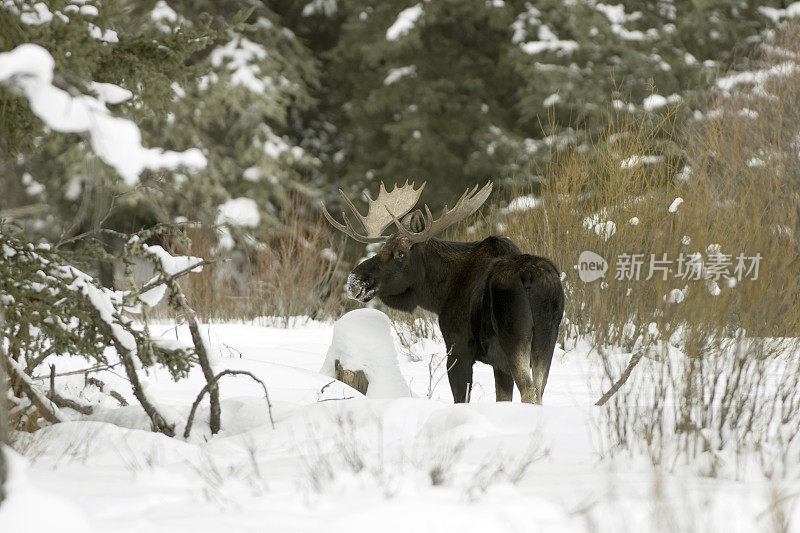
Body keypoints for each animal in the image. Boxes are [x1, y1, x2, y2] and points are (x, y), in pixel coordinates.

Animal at [322, 181, 564, 402]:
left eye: (400, 253)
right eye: (382, 249)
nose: (355, 281)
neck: (440, 295)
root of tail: (532, 278)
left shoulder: (459, 350)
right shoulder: (499, 364)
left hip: (514, 336)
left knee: (530, 391)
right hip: (547, 339)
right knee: (539, 391)